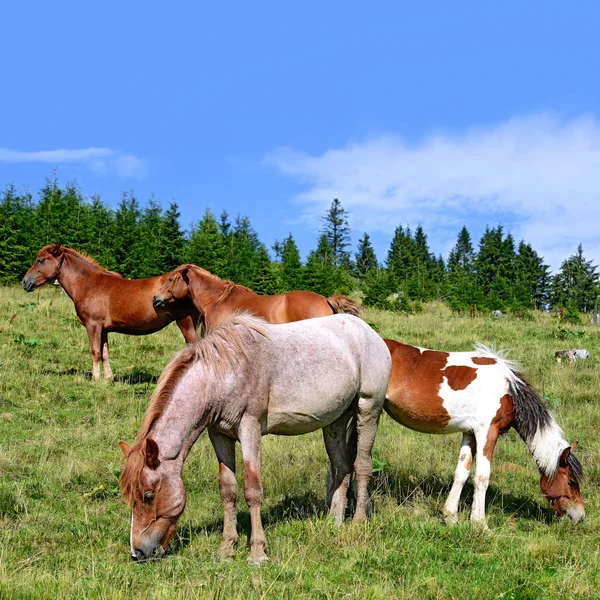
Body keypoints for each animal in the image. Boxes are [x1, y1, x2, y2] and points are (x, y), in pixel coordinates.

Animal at [22, 244, 199, 380]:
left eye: (41, 260)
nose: (25, 282)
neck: (88, 284)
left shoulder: (93, 325)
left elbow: (95, 351)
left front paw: (95, 379)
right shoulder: (104, 329)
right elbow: (104, 353)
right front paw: (108, 378)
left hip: (185, 322)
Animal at [120, 314, 394, 564]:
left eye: (148, 495)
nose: (137, 552)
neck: (222, 374)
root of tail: (368, 332)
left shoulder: (249, 428)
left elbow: (252, 490)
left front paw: (257, 552)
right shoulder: (220, 435)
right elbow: (228, 491)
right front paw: (227, 548)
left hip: (368, 410)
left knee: (362, 466)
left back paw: (358, 522)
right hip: (336, 421)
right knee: (342, 468)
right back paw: (333, 523)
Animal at [382, 340, 584, 528]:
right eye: (572, 481)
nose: (581, 516)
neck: (509, 391)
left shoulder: (470, 433)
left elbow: (461, 473)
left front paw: (451, 517)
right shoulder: (487, 432)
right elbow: (482, 477)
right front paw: (480, 524)